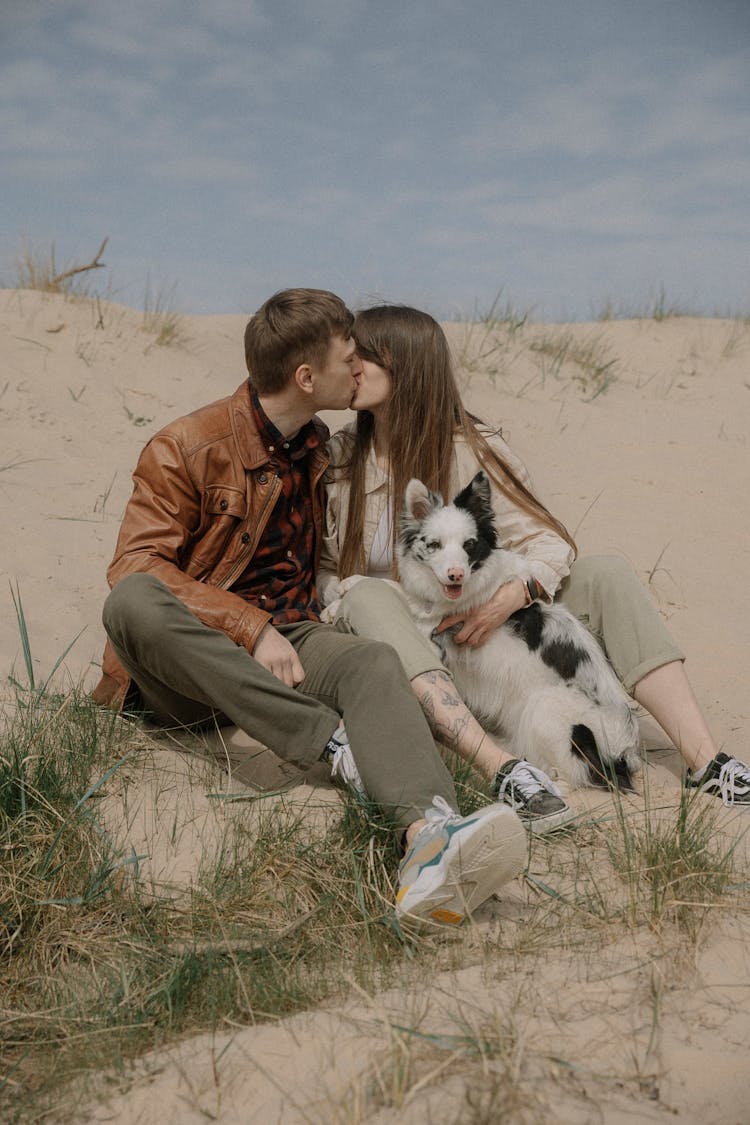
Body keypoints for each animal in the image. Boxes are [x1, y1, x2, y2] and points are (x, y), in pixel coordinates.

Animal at [398, 470, 638, 787]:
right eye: (434, 544)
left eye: (469, 545)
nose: (456, 575)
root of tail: (621, 754)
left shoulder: (434, 637)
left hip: (545, 707)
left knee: (561, 772)